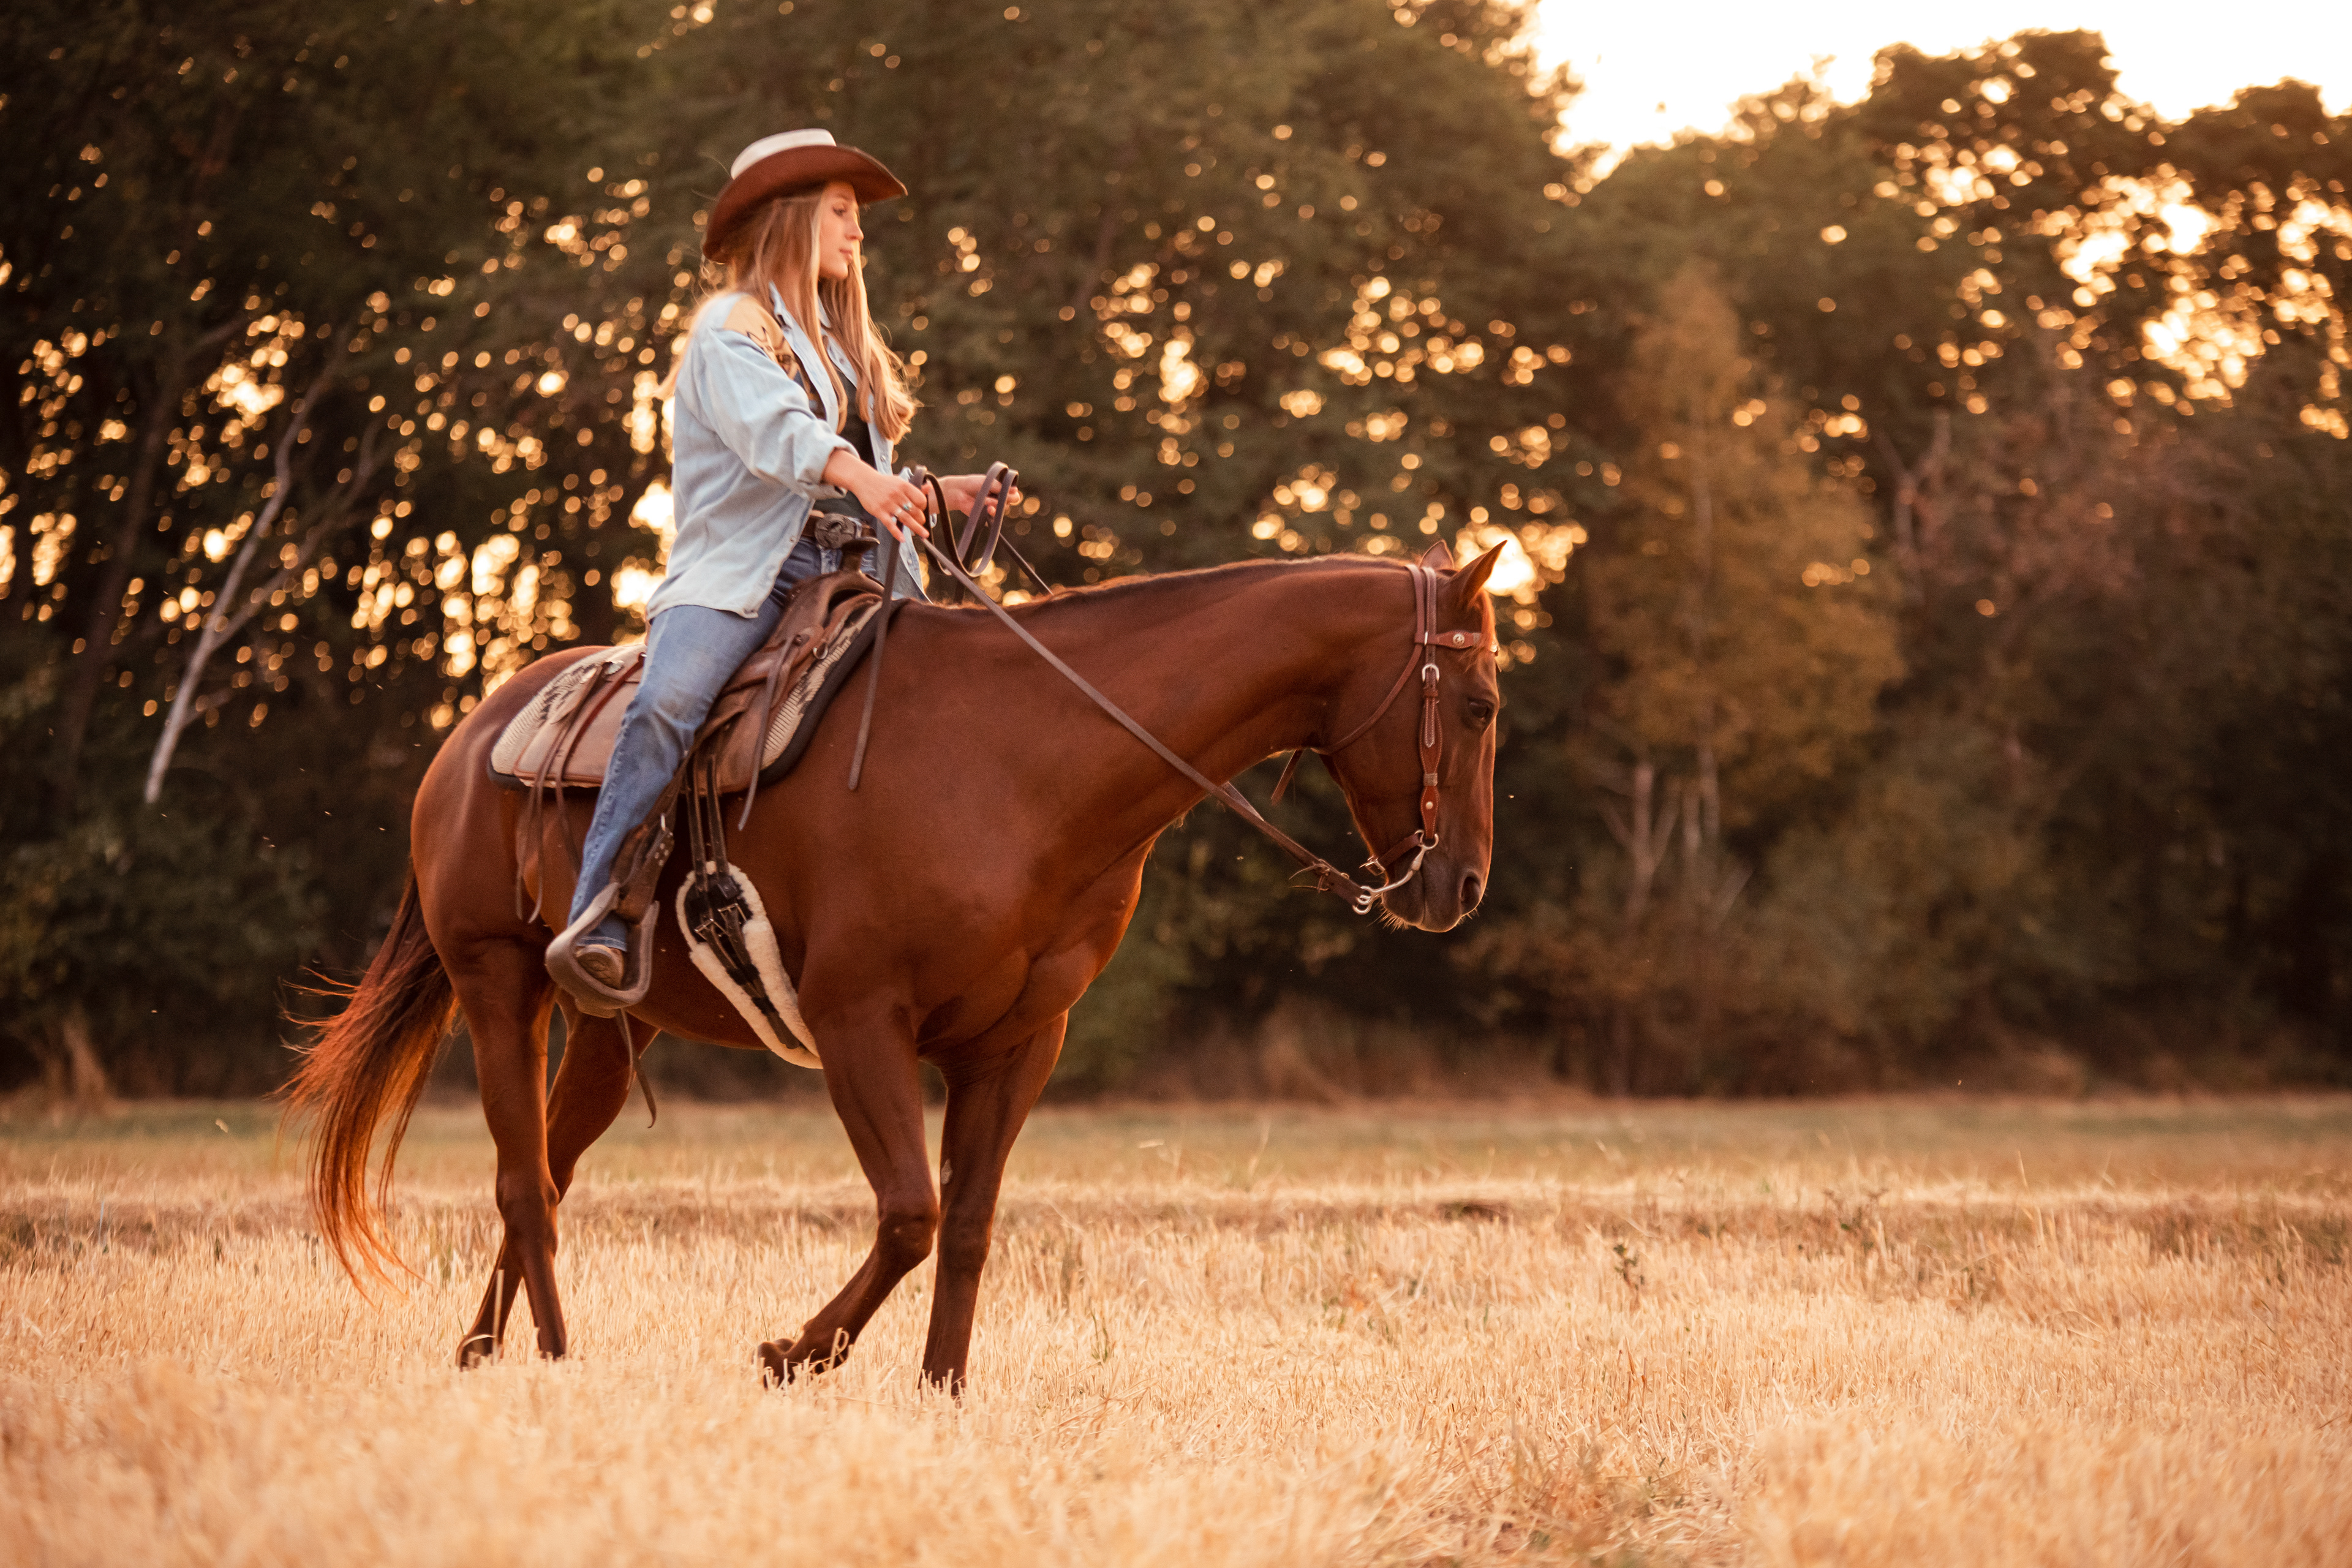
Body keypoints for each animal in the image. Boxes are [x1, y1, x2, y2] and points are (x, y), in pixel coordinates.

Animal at [285, 540, 1504, 1390]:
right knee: (521, 1183)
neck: (1027, 761)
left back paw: (483, 1350)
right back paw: (551, 1354)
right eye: (1483, 704)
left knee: (546, 1171)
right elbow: (911, 1212)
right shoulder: (858, 1021)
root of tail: (468, 734)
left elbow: (965, 1225)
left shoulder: (1018, 1043)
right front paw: (793, 1353)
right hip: (499, 984)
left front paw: (941, 1389)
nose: (1460, 890)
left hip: (605, 1031)